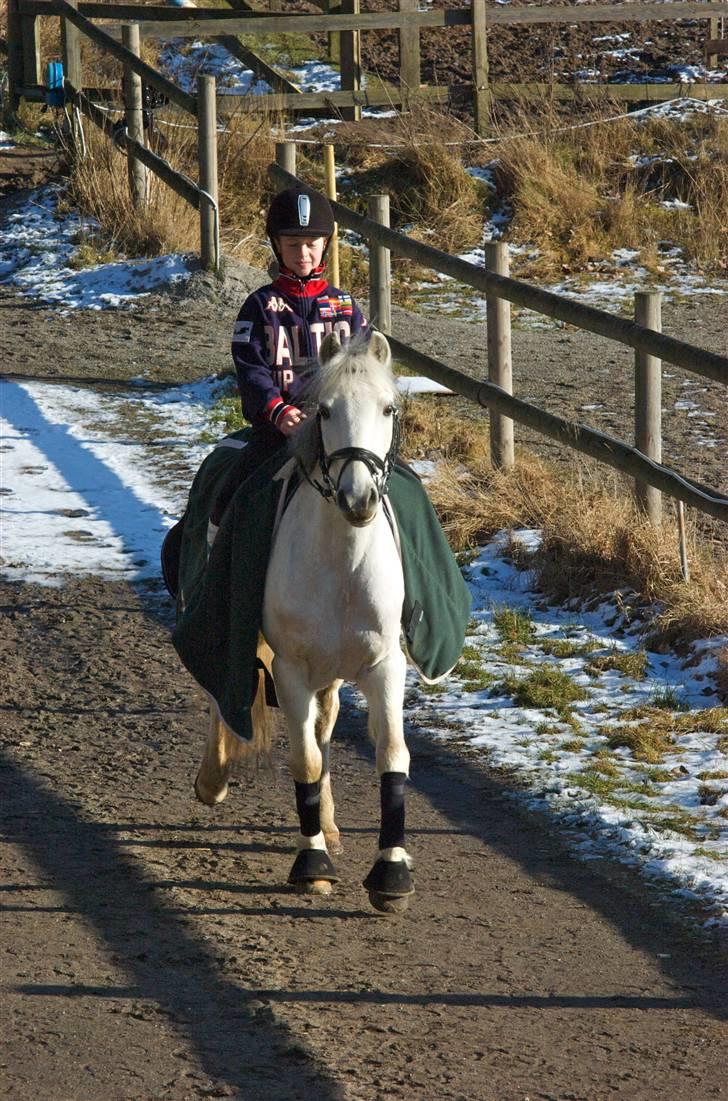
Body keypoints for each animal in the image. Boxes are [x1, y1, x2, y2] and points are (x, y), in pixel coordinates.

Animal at [196, 330, 411, 916]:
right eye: (326, 410)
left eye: (388, 408)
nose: (358, 497)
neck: (341, 564)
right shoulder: (289, 670)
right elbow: (305, 762)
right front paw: (312, 864)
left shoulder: (385, 667)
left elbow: (389, 755)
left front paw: (391, 872)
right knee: (223, 694)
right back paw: (213, 780)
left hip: (332, 674)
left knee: (326, 725)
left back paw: (331, 823)